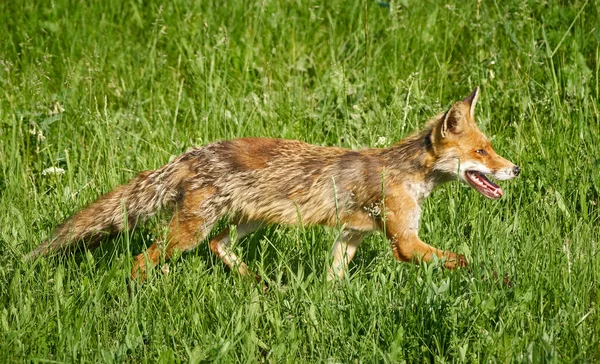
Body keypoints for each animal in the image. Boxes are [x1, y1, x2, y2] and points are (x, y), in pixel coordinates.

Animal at [24, 87, 520, 282]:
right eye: (482, 152)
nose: (515, 170)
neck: (406, 174)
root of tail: (190, 153)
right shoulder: (406, 242)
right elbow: (465, 260)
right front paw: (499, 278)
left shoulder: (351, 235)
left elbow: (335, 280)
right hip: (187, 233)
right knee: (143, 259)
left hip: (248, 222)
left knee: (220, 246)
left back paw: (261, 286)